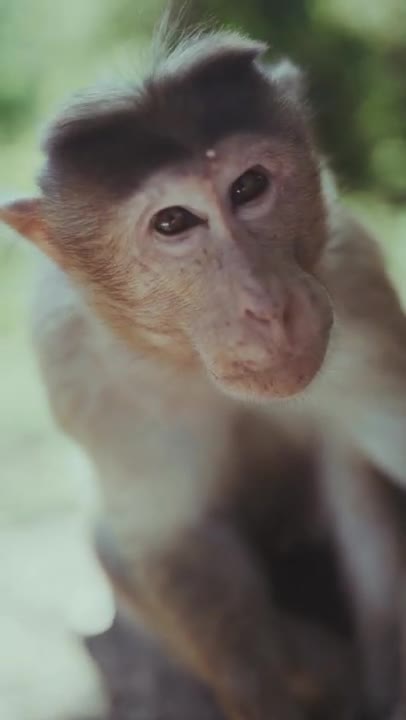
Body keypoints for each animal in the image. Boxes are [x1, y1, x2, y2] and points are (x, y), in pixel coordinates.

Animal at [1, 21, 406, 720]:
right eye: (173, 222)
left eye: (248, 187)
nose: (267, 305)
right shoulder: (77, 367)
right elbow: (179, 544)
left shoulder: (353, 283)